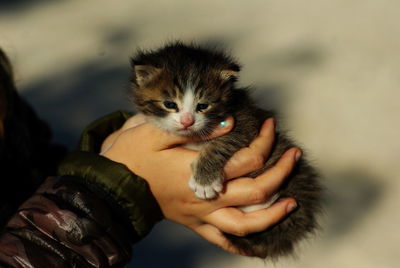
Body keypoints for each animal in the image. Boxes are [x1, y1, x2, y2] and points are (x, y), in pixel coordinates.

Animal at [130, 42, 324, 260]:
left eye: (203, 106)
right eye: (169, 104)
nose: (187, 121)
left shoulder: (247, 121)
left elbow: (220, 144)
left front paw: (204, 182)